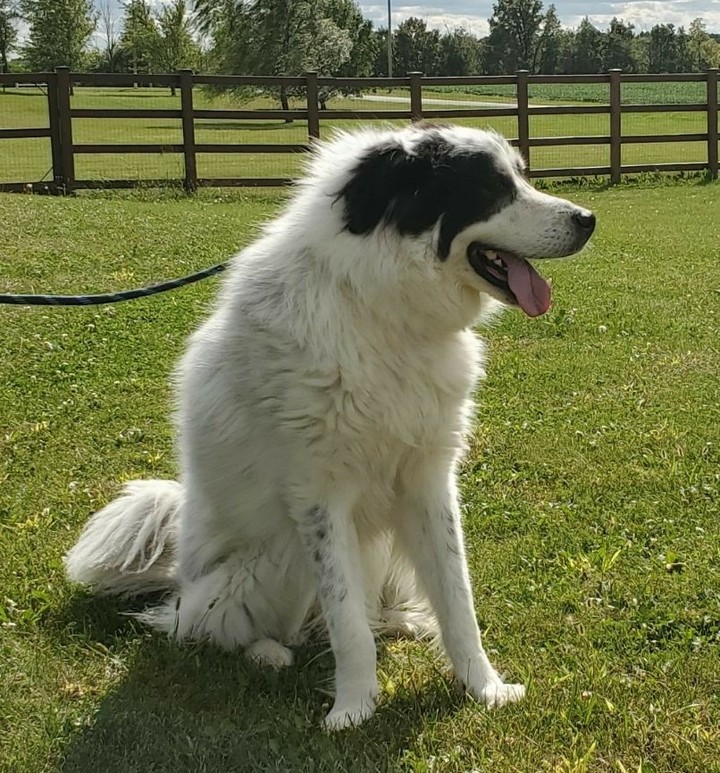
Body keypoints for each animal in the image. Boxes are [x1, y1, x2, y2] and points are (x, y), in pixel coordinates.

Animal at [66, 123, 596, 728]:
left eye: (520, 177)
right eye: (491, 189)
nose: (588, 219)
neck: (383, 310)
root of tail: (180, 571)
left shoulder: (427, 483)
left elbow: (456, 597)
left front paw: (483, 688)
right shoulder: (319, 498)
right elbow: (347, 622)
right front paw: (354, 708)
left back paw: (403, 620)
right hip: (275, 561)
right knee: (204, 625)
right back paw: (268, 652)